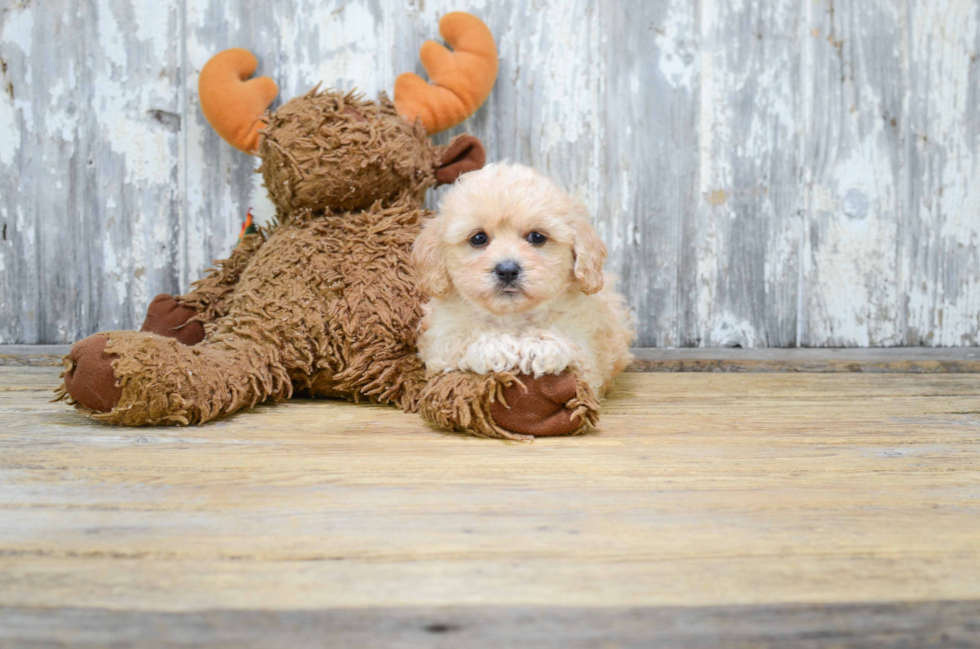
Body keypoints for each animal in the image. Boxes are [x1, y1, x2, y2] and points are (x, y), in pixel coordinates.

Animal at [408, 161, 632, 394]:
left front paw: (539, 346)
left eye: (537, 236)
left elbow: (566, 342)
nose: (507, 270)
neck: (512, 317)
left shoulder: (586, 350)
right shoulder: (440, 342)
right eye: (478, 238)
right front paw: (495, 346)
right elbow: (462, 339)